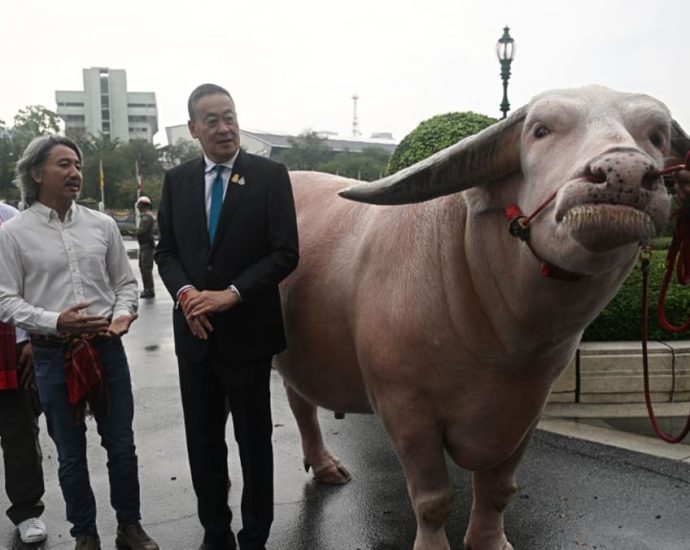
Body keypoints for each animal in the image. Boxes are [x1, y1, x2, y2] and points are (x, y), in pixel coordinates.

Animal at [274, 87, 688, 550]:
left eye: (656, 136)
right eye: (540, 130)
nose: (626, 173)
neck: (501, 338)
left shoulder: (527, 408)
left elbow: (499, 488)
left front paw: (490, 540)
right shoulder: (404, 409)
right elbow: (433, 499)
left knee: (299, 399)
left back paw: (325, 466)